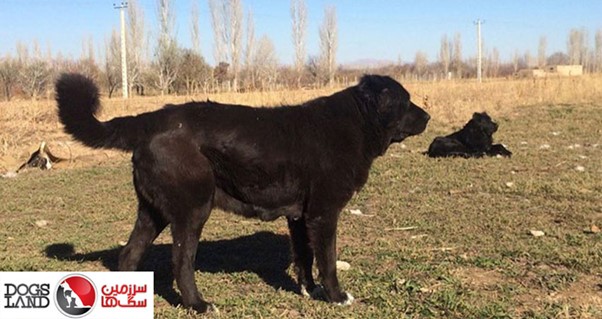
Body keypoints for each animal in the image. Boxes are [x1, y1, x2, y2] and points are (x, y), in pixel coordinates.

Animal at [56, 74, 428, 314]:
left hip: (153, 212)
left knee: (129, 255)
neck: (356, 121)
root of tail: (152, 119)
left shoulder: (300, 217)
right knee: (181, 262)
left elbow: (305, 258)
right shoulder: (324, 215)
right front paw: (336, 296)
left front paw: (309, 290)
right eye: (407, 101)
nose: (428, 115)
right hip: (192, 210)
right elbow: (327, 260)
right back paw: (198, 304)